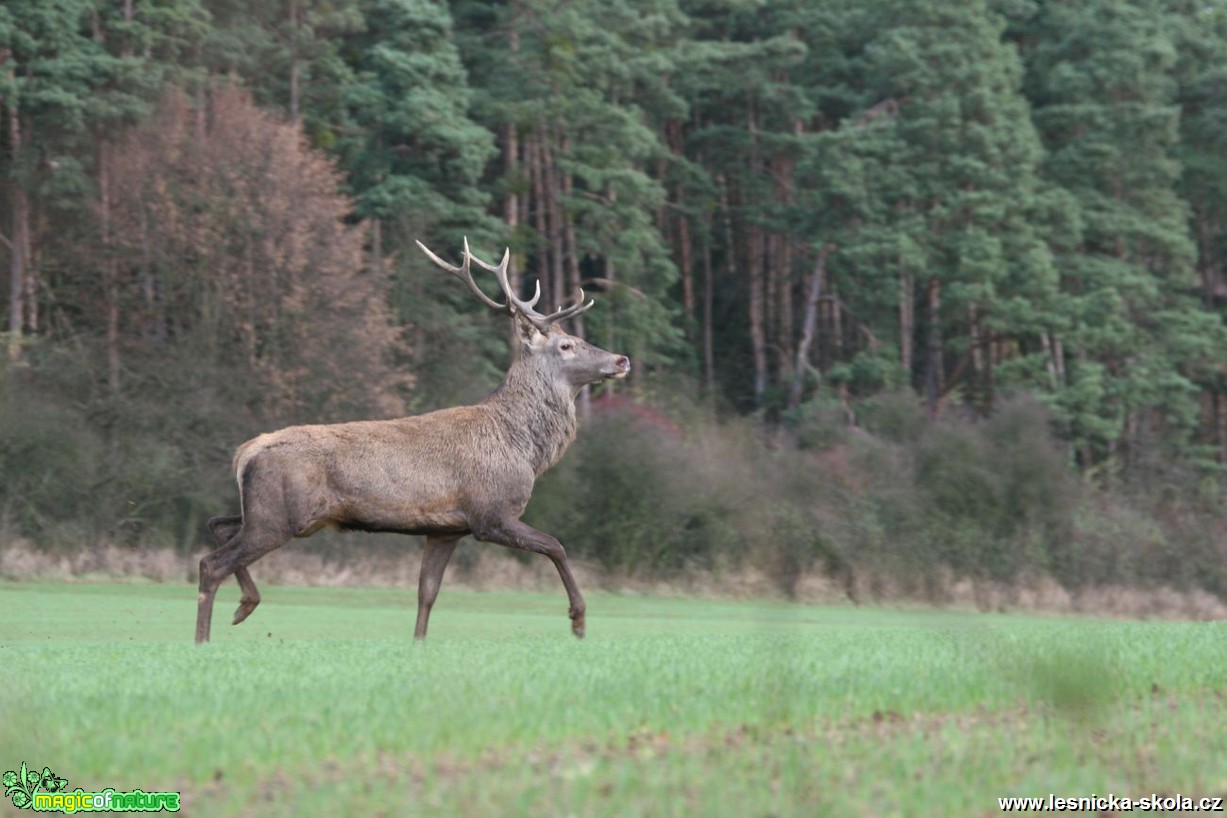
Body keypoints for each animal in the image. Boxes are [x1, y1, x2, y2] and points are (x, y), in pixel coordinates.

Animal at [196, 240, 633, 642]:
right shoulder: (491, 513)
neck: (524, 448)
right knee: (210, 564)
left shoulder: (446, 529)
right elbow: (556, 544)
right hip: (279, 516)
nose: (621, 359)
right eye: (566, 345)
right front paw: (578, 619)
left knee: (217, 523)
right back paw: (210, 634)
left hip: (271, 511)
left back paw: (245, 603)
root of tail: (244, 452)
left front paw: (418, 644)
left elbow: (427, 593)